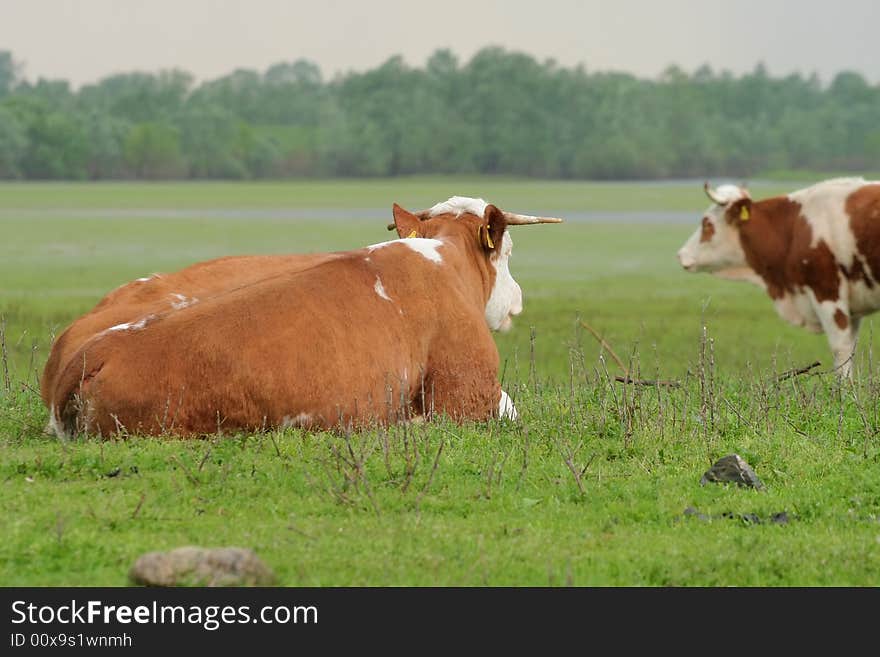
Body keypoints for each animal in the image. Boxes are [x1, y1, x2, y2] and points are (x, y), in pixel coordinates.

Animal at [680, 177, 880, 376]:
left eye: (707, 223)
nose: (681, 254)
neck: (793, 228)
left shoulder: (827, 291)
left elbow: (841, 349)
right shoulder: (852, 308)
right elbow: (851, 348)